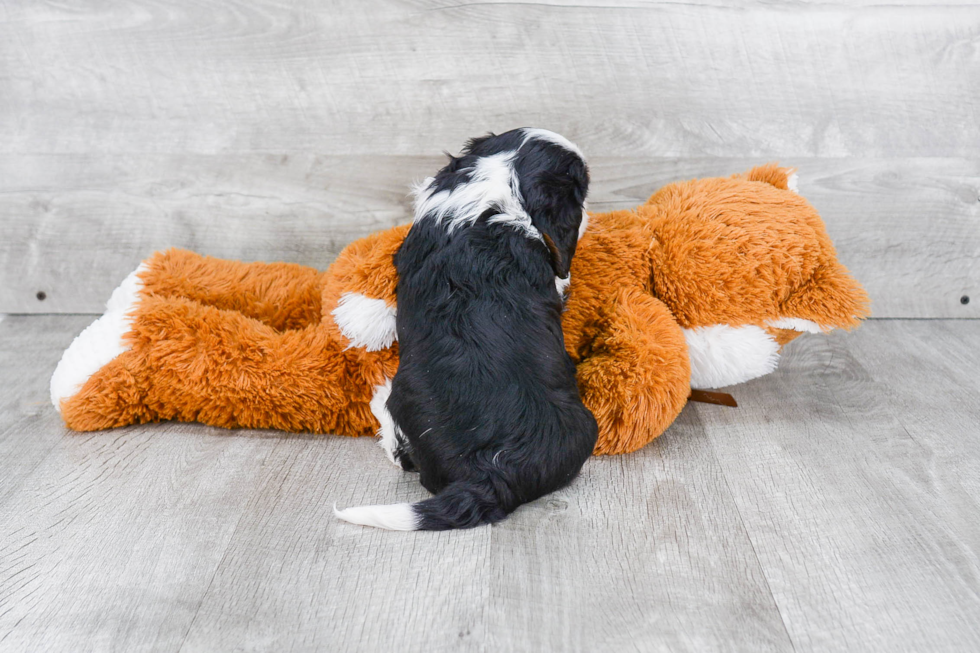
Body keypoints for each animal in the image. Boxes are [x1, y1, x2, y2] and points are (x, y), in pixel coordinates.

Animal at [334, 127, 596, 528]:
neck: (500, 186)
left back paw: (379, 399)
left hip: (408, 399)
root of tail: (497, 473)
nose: (590, 216)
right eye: (580, 191)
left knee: (404, 455)